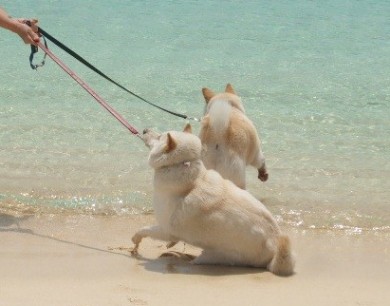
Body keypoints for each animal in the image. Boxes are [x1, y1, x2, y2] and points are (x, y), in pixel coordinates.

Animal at [133, 125, 294, 278]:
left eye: (160, 136)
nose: (145, 130)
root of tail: (275, 245)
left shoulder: (166, 228)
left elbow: (144, 230)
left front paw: (136, 240)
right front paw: (171, 244)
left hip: (219, 255)